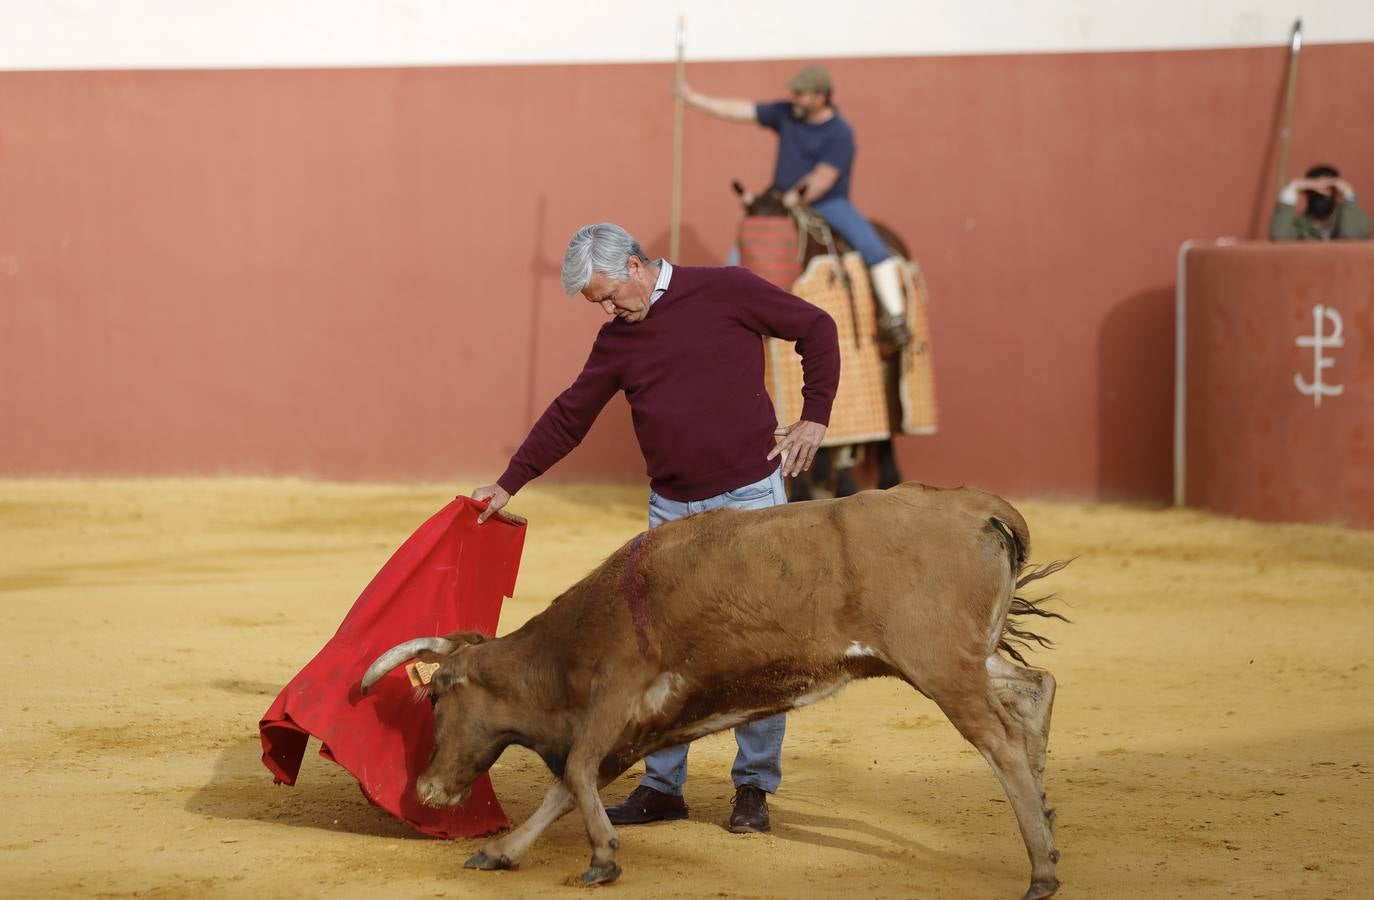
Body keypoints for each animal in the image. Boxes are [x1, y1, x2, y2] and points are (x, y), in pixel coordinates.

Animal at [359, 486, 1066, 900]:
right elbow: (565, 789)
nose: (425, 789)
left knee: (1002, 744)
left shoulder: (616, 697)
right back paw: (1047, 823)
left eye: (434, 698)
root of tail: (981, 509)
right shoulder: (636, 726)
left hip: (941, 669)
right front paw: (500, 852)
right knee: (1036, 689)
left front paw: (602, 860)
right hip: (964, 660)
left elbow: (577, 772)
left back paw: (1041, 870)